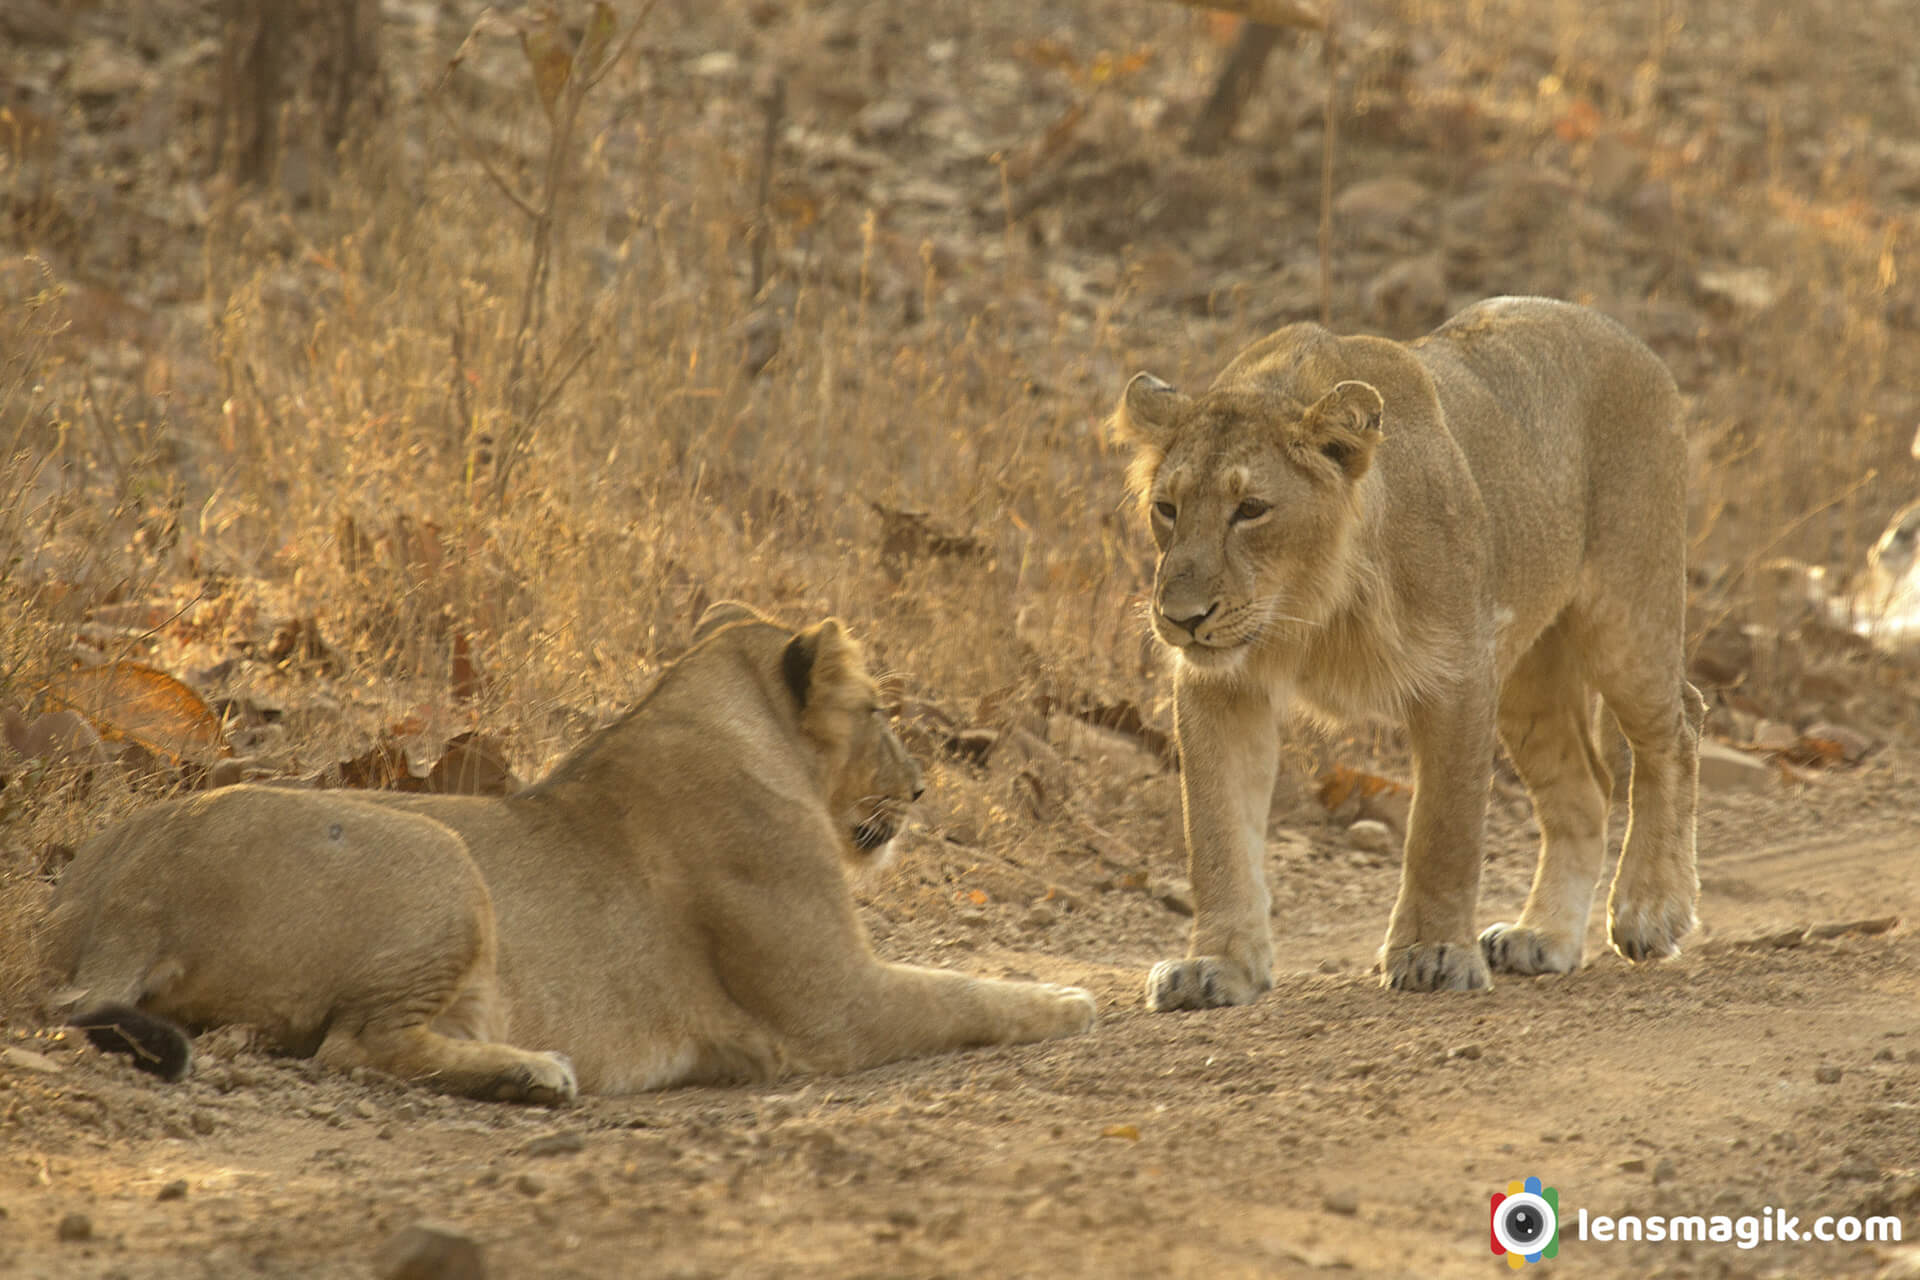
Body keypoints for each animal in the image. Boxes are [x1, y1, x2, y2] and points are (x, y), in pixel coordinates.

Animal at [41, 610, 1098, 1105]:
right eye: (879, 711)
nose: (920, 791)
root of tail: (127, 889)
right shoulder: (837, 1005)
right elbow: (966, 993)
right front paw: (1074, 1000)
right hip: (440, 851)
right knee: (355, 1045)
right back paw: (534, 1074)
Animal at [1121, 295, 1704, 1005]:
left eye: (1252, 508)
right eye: (1167, 507)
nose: (1183, 619)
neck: (1311, 607)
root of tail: (1624, 337)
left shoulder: (1459, 673)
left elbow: (1442, 829)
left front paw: (1433, 952)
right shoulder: (1222, 685)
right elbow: (1215, 831)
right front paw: (1215, 964)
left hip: (1625, 616)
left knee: (1677, 727)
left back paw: (1651, 908)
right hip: (1528, 673)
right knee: (1583, 786)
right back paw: (1544, 936)